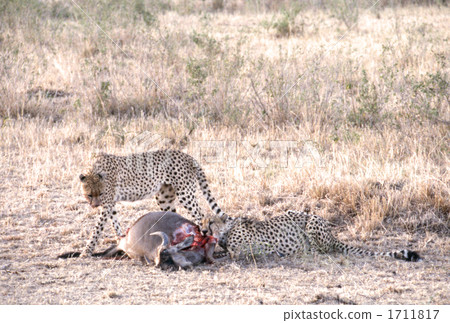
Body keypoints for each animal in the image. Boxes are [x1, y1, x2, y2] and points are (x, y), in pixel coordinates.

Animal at [79, 151, 227, 256]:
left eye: (100, 194)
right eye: (89, 195)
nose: (95, 205)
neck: (94, 170)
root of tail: (187, 155)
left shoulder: (107, 202)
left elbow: (97, 228)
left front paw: (86, 251)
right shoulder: (110, 203)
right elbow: (115, 223)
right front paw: (119, 241)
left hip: (185, 194)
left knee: (200, 215)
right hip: (164, 198)